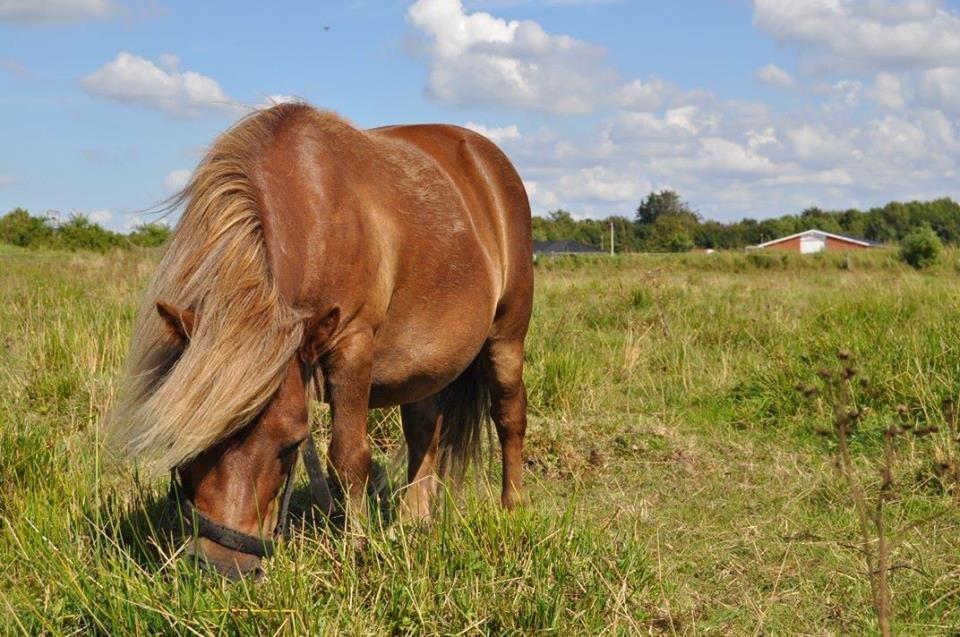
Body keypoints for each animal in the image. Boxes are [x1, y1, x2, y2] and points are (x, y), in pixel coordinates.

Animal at [111, 102, 536, 580]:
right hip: (424, 366)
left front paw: (356, 548)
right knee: (425, 429)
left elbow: (349, 458)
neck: (313, 211)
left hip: (506, 337)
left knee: (509, 416)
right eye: (187, 441)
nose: (222, 567)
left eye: (291, 444)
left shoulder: (351, 346)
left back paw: (511, 507)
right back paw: (410, 523)